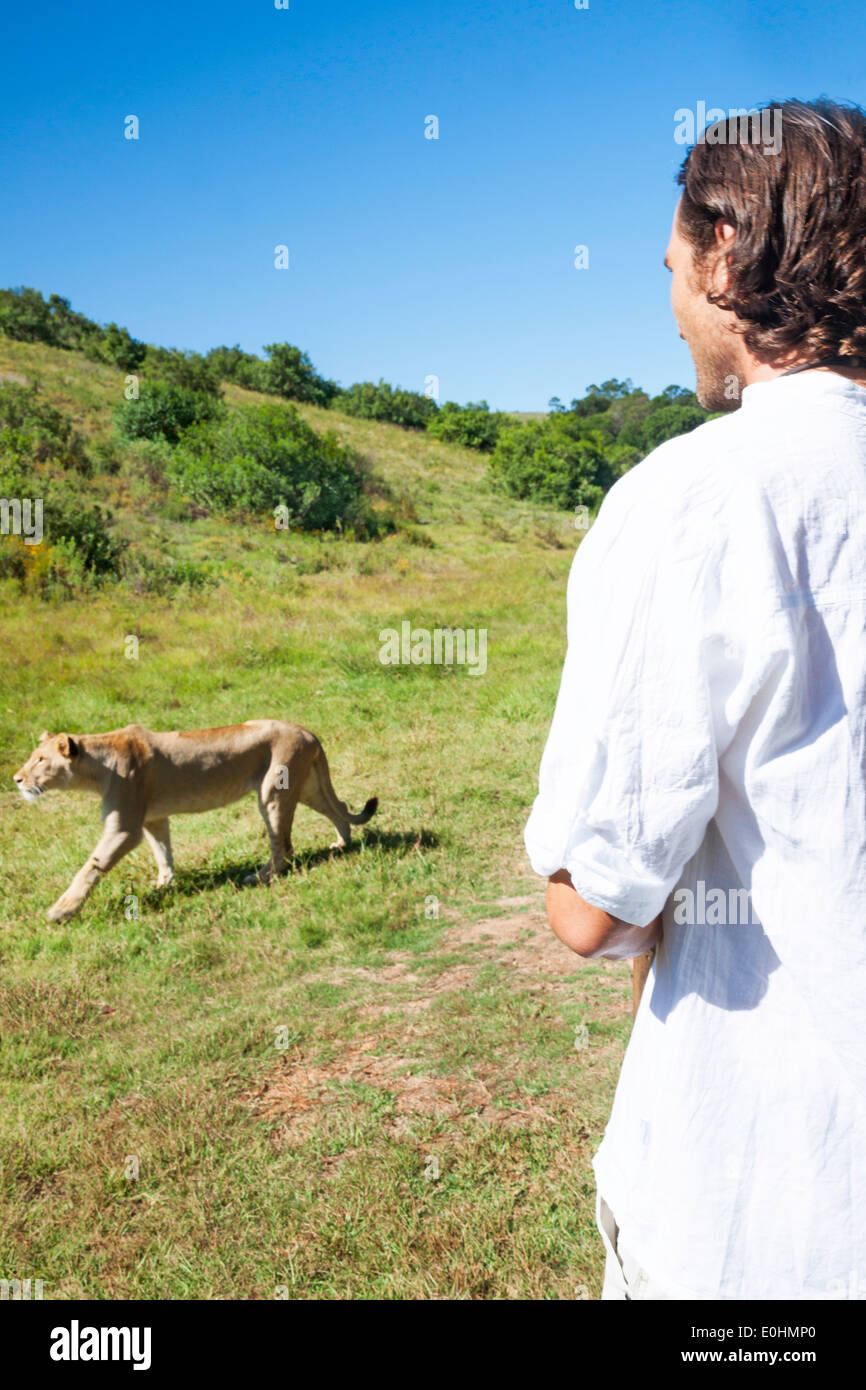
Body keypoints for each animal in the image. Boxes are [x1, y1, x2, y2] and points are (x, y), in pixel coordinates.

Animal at [13, 721, 378, 922]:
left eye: (40, 760)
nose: (16, 779)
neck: (96, 765)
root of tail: (307, 731)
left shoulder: (124, 829)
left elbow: (90, 867)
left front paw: (61, 911)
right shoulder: (153, 818)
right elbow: (163, 853)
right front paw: (164, 885)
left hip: (273, 790)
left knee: (284, 846)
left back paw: (257, 878)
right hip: (307, 786)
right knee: (338, 808)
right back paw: (342, 844)